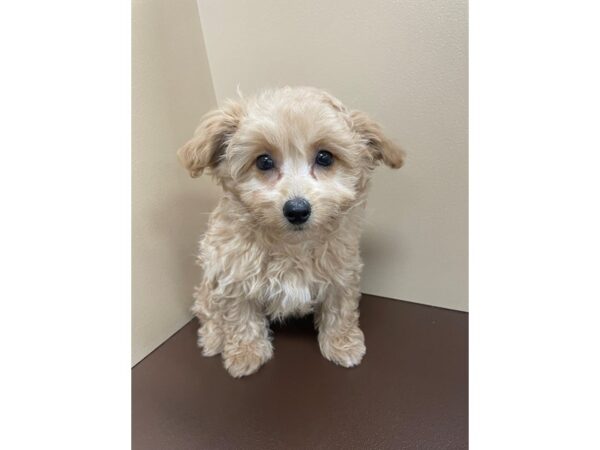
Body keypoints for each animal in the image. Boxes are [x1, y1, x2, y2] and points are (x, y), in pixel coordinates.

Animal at [177, 85, 404, 376]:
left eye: (324, 157)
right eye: (263, 162)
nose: (296, 210)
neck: (291, 245)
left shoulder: (341, 272)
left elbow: (339, 310)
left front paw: (342, 344)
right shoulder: (232, 275)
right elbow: (240, 317)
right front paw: (246, 354)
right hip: (209, 280)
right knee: (207, 309)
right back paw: (213, 338)